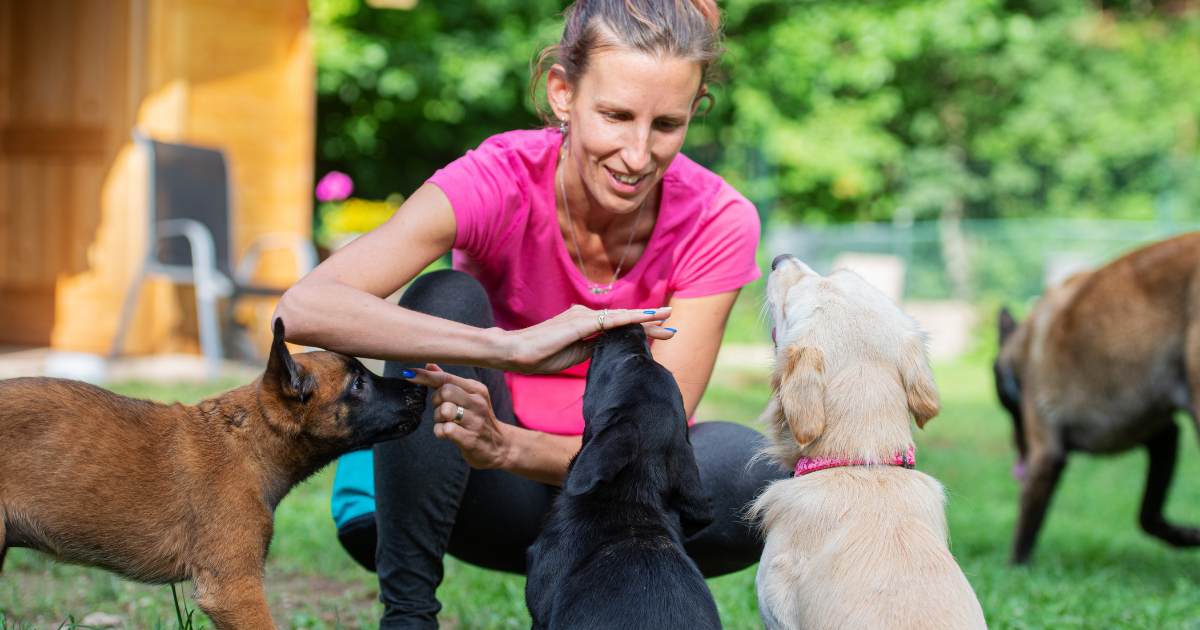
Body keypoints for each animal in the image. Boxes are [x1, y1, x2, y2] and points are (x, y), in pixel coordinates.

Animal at [995, 232, 1200, 564]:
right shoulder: (1163, 435)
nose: (1018, 457)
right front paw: (1185, 536)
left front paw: (1013, 570)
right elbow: (1147, 516)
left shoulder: (1046, 456)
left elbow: (1024, 529)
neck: (1022, 349)